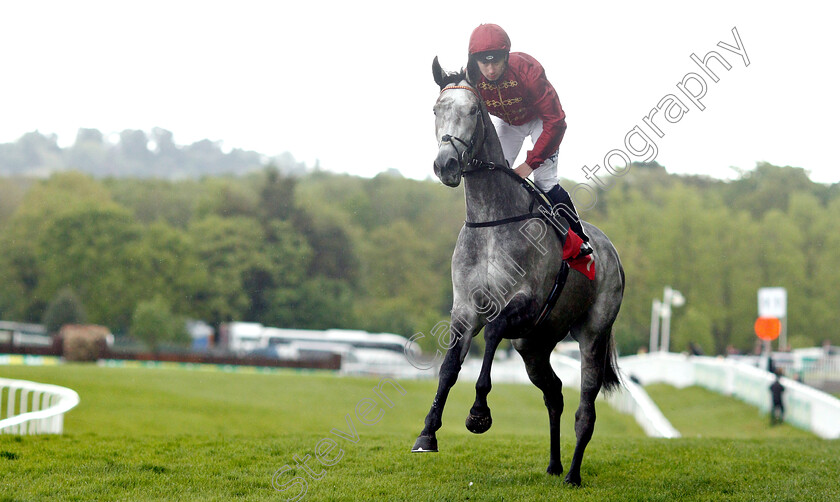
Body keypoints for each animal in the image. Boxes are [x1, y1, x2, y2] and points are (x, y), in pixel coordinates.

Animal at [410, 58, 628, 486]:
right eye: (435, 110)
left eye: (473, 111)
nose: (446, 165)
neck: (492, 220)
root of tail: (611, 251)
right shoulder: (464, 309)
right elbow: (449, 367)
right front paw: (428, 432)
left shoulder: (523, 304)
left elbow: (493, 332)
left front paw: (479, 413)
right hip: (534, 346)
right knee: (554, 393)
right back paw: (554, 464)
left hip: (592, 334)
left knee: (585, 408)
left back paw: (573, 474)